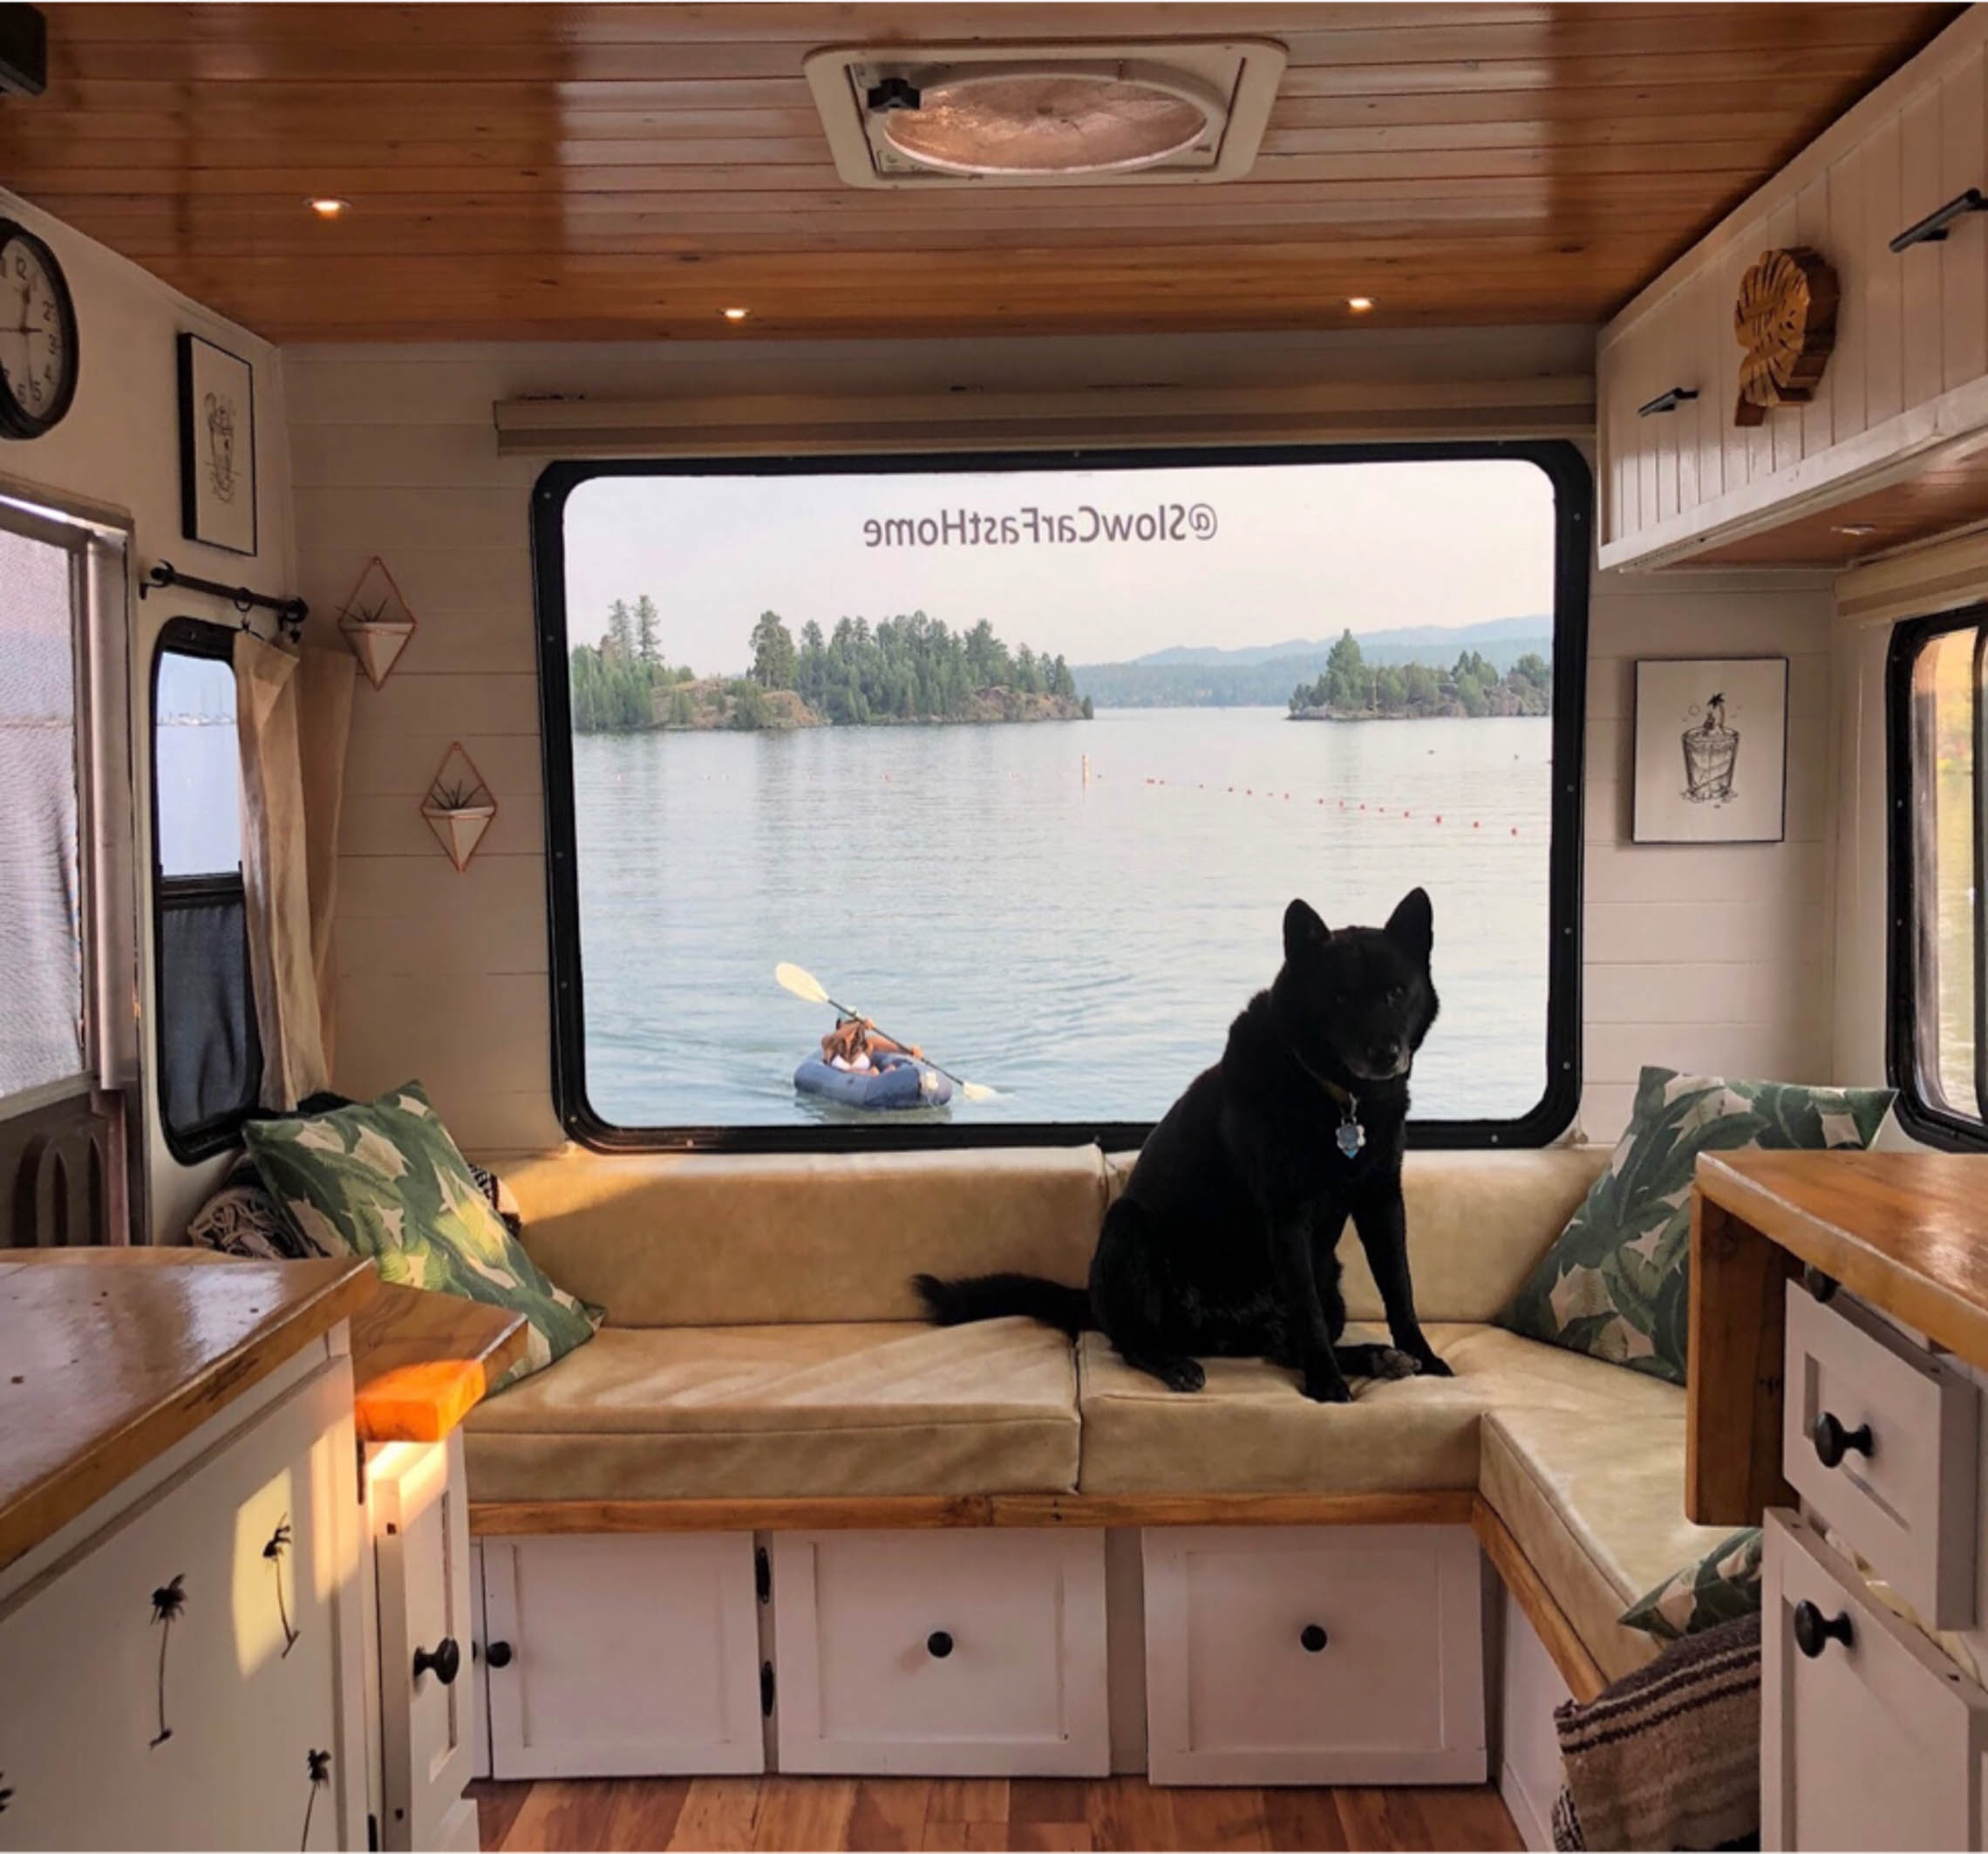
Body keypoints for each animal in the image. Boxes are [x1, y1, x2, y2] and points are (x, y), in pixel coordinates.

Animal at [910, 887, 1447, 1408]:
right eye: (1339, 997)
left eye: (1396, 992)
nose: (1386, 1055)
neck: (1337, 1100)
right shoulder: (1288, 1213)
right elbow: (1309, 1310)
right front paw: (1326, 1384)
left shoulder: (1381, 1201)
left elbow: (1400, 1287)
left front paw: (1423, 1357)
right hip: (1129, 1228)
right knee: (1135, 1341)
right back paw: (1174, 1364)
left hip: (1326, 1270)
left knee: (1282, 1345)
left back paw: (1377, 1356)